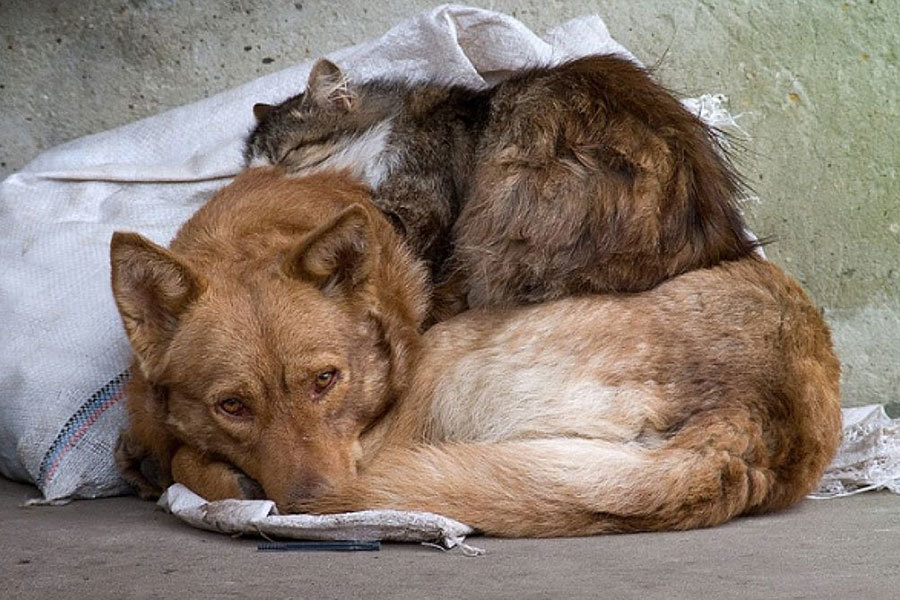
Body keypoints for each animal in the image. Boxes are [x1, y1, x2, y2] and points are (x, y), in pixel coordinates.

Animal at [112, 166, 844, 536]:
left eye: (326, 381)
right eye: (233, 406)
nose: (310, 503)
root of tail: (752, 424)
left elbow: (184, 457)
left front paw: (187, 470)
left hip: (443, 361)